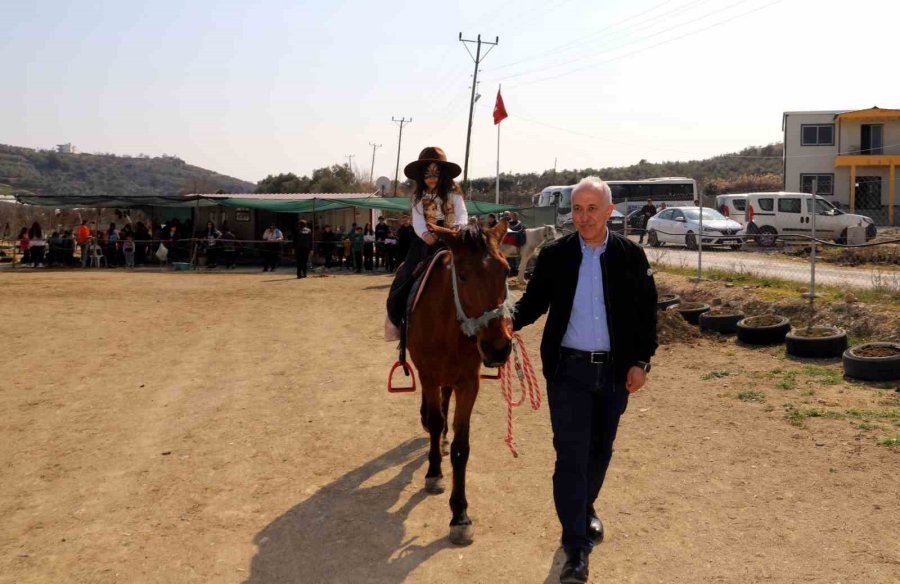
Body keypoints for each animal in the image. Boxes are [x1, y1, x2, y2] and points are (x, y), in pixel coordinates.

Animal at [408, 219, 512, 544]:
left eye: (506, 270)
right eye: (463, 275)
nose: (498, 348)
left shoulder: (468, 383)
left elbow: (461, 446)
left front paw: (460, 515)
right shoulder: (428, 375)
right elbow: (435, 421)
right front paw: (433, 474)